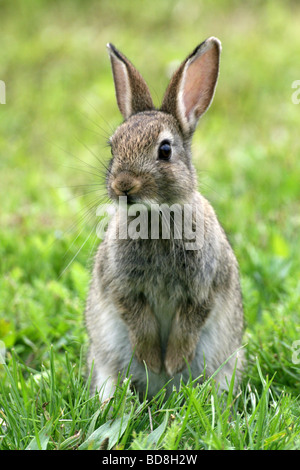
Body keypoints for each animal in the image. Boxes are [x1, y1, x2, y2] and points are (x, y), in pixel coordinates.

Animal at [84, 37, 244, 400]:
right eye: (113, 149)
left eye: (165, 151)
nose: (122, 185)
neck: (157, 216)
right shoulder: (124, 289)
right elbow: (139, 322)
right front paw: (153, 362)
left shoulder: (203, 291)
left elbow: (188, 326)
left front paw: (171, 363)